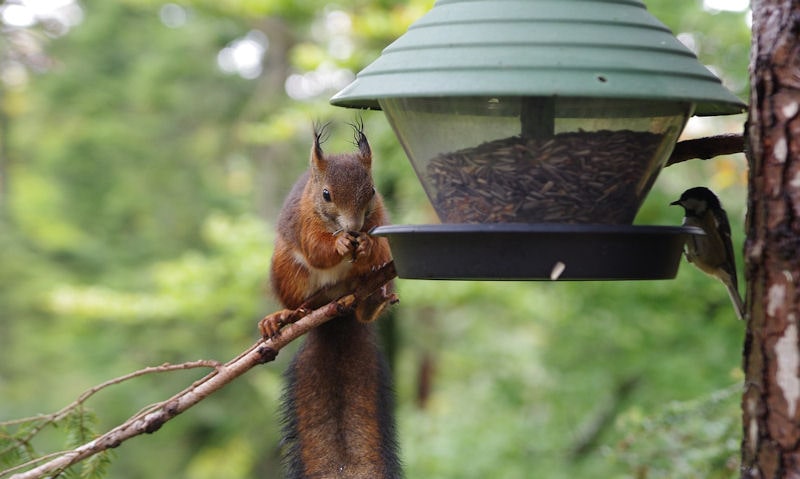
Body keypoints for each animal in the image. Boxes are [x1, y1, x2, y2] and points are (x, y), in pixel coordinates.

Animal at [260, 123, 400, 479]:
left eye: (373, 191)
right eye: (326, 195)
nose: (354, 227)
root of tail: (336, 309)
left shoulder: (379, 218)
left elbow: (377, 247)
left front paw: (366, 245)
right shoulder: (306, 221)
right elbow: (316, 250)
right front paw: (337, 246)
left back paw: (372, 300)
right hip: (287, 270)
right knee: (301, 300)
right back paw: (285, 316)